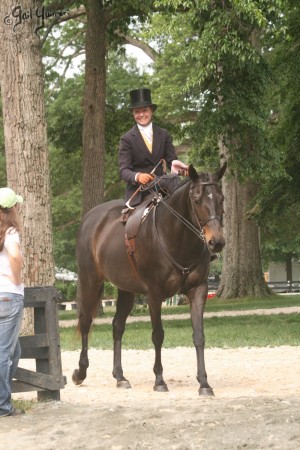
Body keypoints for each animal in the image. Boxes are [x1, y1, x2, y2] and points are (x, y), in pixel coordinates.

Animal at [72, 163, 226, 396]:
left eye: (221, 198)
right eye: (196, 199)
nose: (216, 242)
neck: (178, 238)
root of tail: (90, 218)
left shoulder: (199, 290)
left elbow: (199, 335)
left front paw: (204, 383)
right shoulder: (154, 294)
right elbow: (158, 335)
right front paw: (160, 380)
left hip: (126, 289)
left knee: (117, 326)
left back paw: (120, 376)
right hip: (91, 280)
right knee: (85, 322)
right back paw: (80, 373)